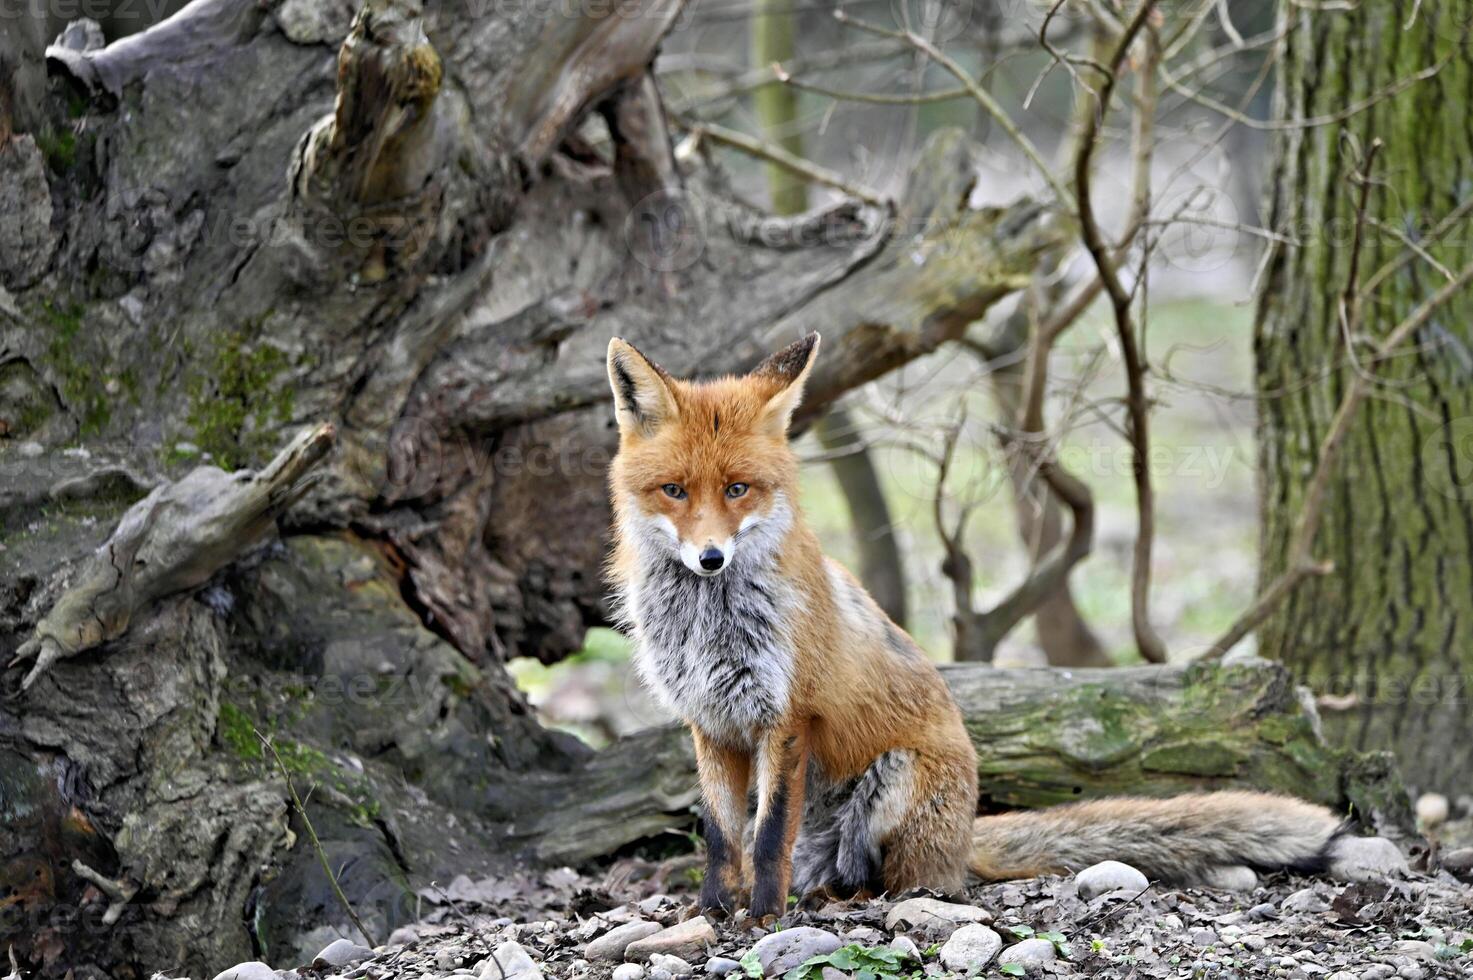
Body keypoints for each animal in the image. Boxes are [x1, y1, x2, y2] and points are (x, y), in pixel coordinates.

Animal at [600, 334, 1349, 919]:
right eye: (674, 491)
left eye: (737, 490)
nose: (710, 558)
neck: (706, 625)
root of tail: (965, 834)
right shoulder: (709, 721)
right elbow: (722, 836)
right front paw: (713, 910)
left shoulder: (785, 717)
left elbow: (764, 835)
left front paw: (759, 916)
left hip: (894, 781)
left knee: (900, 879)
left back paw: (848, 897)